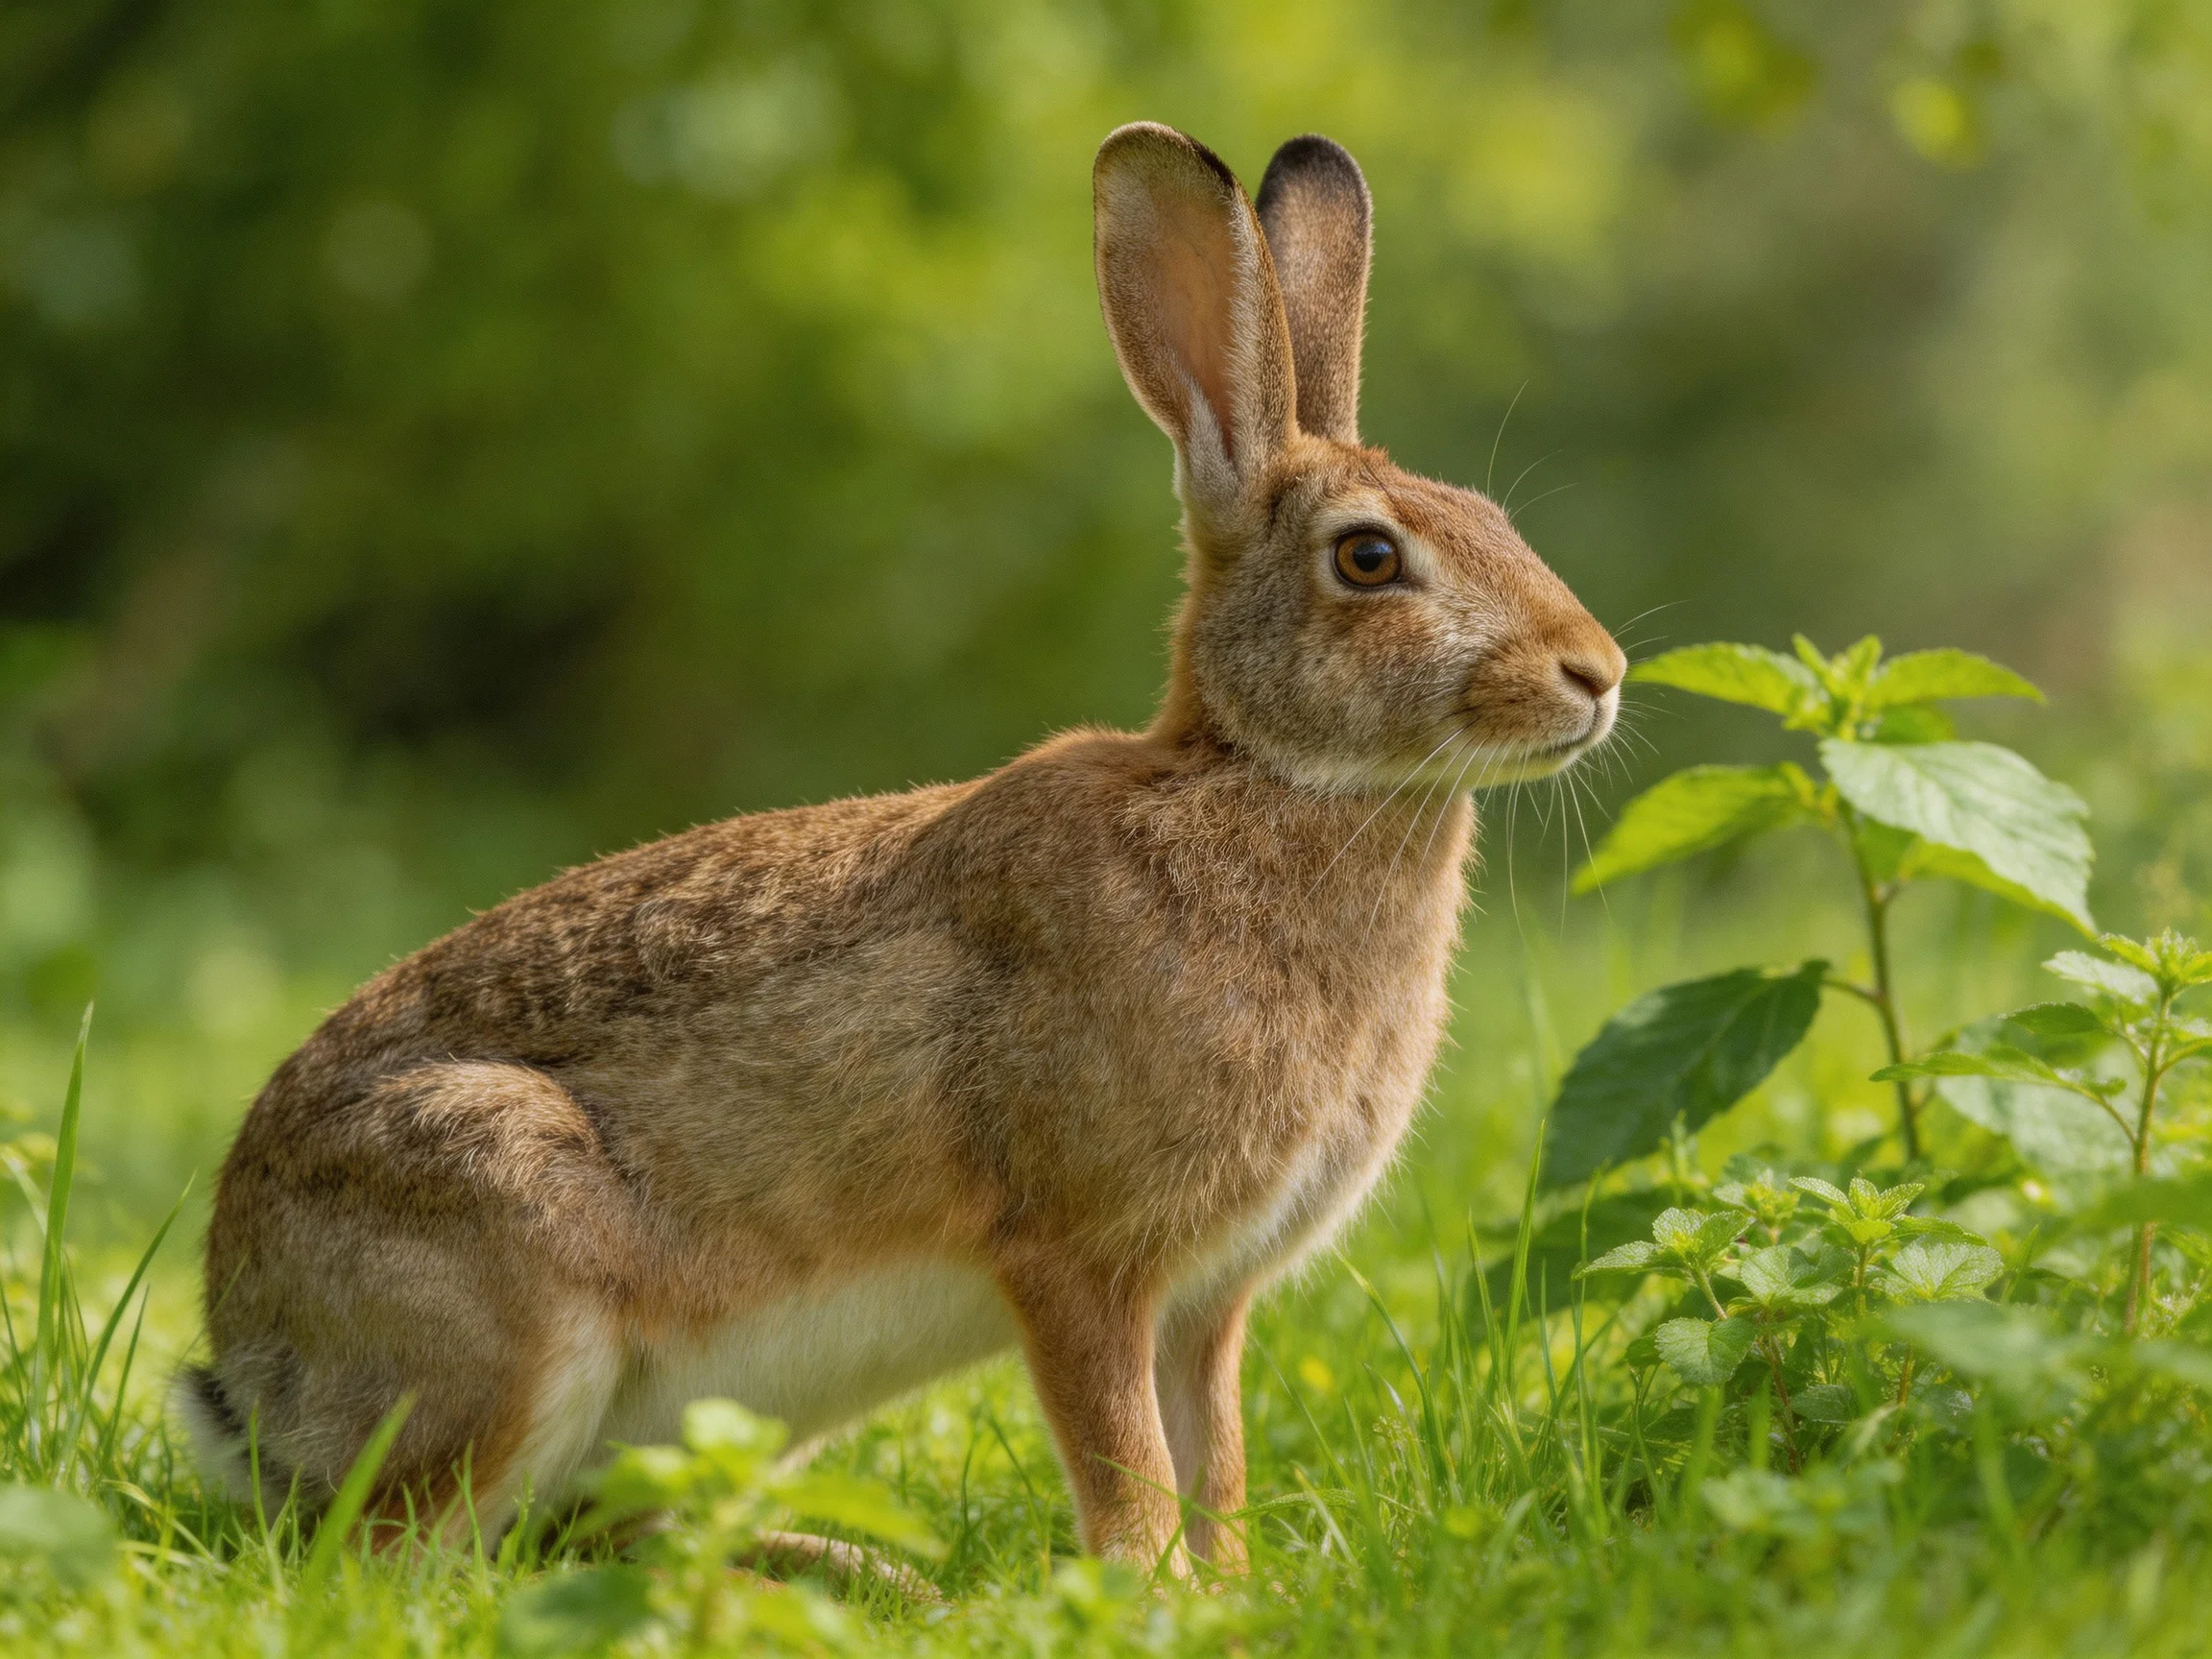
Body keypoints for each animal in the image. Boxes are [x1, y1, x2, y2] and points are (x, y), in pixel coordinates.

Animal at [175, 122, 1624, 1574]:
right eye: (1370, 559)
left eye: (1493, 517)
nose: (1598, 673)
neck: (1261, 776)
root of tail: (247, 1362)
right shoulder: (1076, 1257)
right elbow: (1130, 1465)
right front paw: (1149, 1592)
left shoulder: (1206, 1303)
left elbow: (1211, 1458)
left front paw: (1229, 1591)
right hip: (506, 1251)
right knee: (396, 1559)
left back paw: (869, 1576)